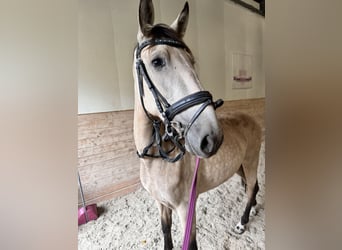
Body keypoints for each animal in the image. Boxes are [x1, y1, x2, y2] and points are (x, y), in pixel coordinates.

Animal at [132, 0, 260, 249]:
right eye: (157, 61)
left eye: (191, 61)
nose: (211, 137)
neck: (155, 160)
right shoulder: (162, 205)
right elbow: (165, 231)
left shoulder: (185, 209)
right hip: (240, 166)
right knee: (254, 186)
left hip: (250, 162)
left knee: (251, 188)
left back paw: (242, 222)